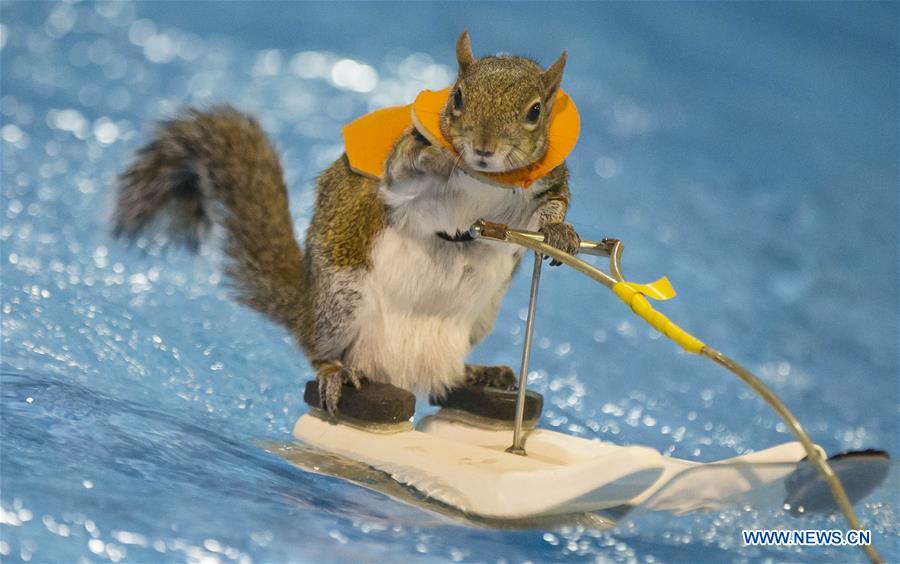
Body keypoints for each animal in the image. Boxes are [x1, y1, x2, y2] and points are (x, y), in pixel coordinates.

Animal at [112, 31, 581, 414]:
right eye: (458, 97)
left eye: (535, 111)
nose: (483, 148)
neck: (483, 179)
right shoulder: (399, 180)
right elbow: (400, 171)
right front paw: (432, 154)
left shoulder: (541, 189)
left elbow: (548, 210)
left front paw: (560, 233)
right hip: (342, 297)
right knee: (319, 349)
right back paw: (334, 371)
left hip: (479, 317)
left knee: (443, 380)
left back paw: (478, 374)